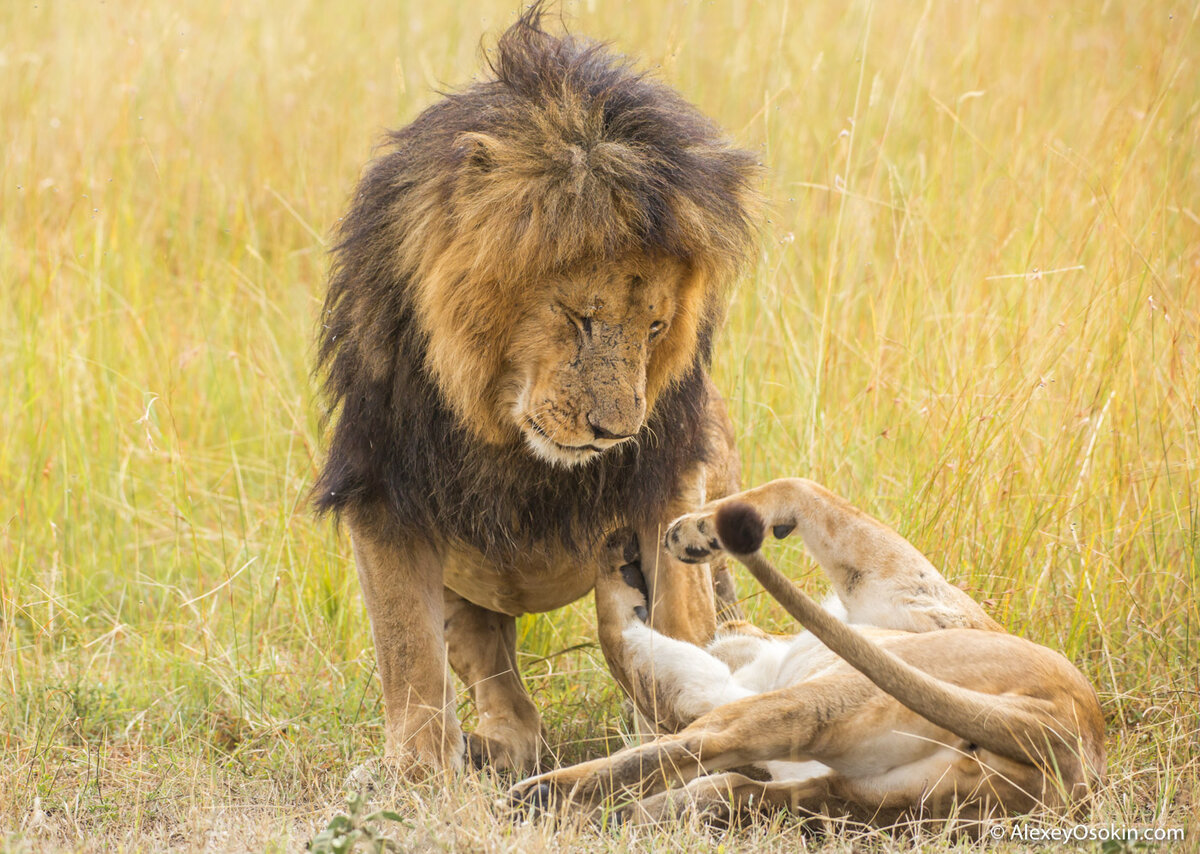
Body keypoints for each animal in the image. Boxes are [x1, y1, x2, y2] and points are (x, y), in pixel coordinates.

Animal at [314, 8, 753, 782]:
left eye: (656, 326)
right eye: (577, 317)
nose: (617, 433)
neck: (509, 434)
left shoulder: (669, 475)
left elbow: (682, 620)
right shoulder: (383, 484)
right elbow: (407, 652)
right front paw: (413, 774)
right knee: (510, 706)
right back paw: (488, 750)